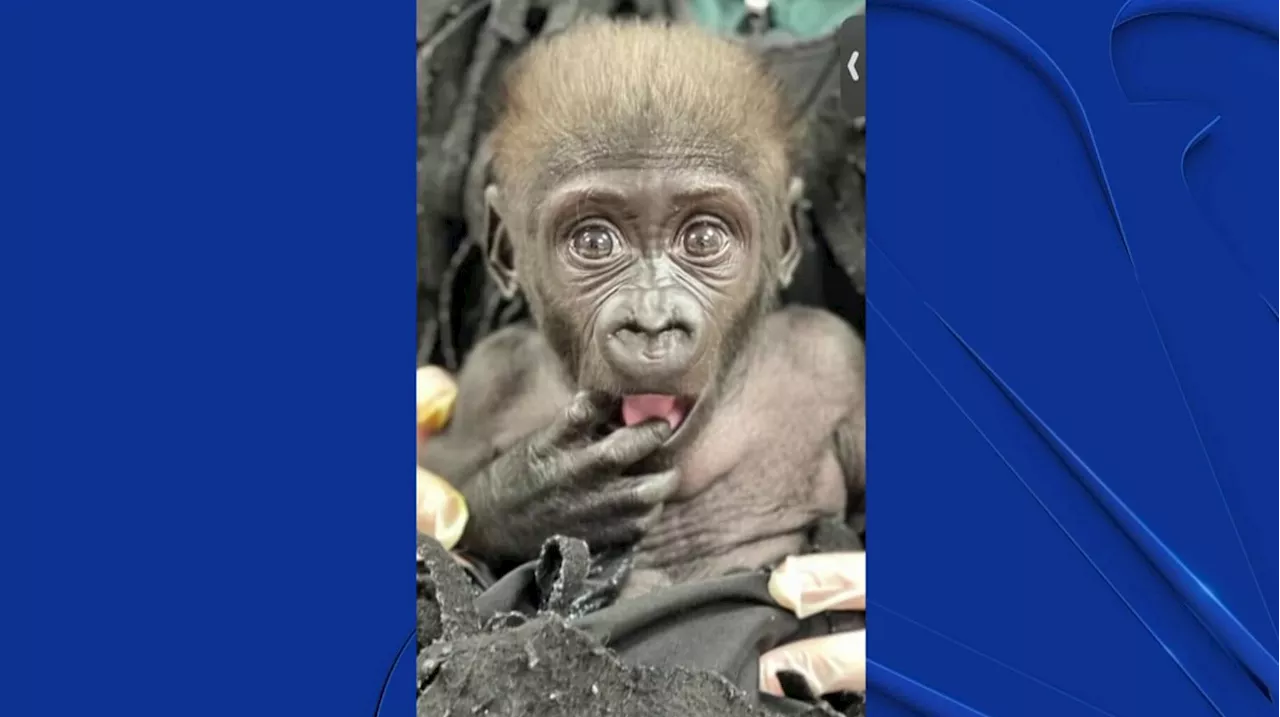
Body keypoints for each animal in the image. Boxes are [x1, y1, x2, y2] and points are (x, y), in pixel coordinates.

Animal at [424, 19, 865, 596]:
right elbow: (441, 472)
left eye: (703, 238)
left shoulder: (831, 357)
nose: (652, 325)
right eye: (593, 242)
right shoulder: (492, 372)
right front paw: (537, 488)